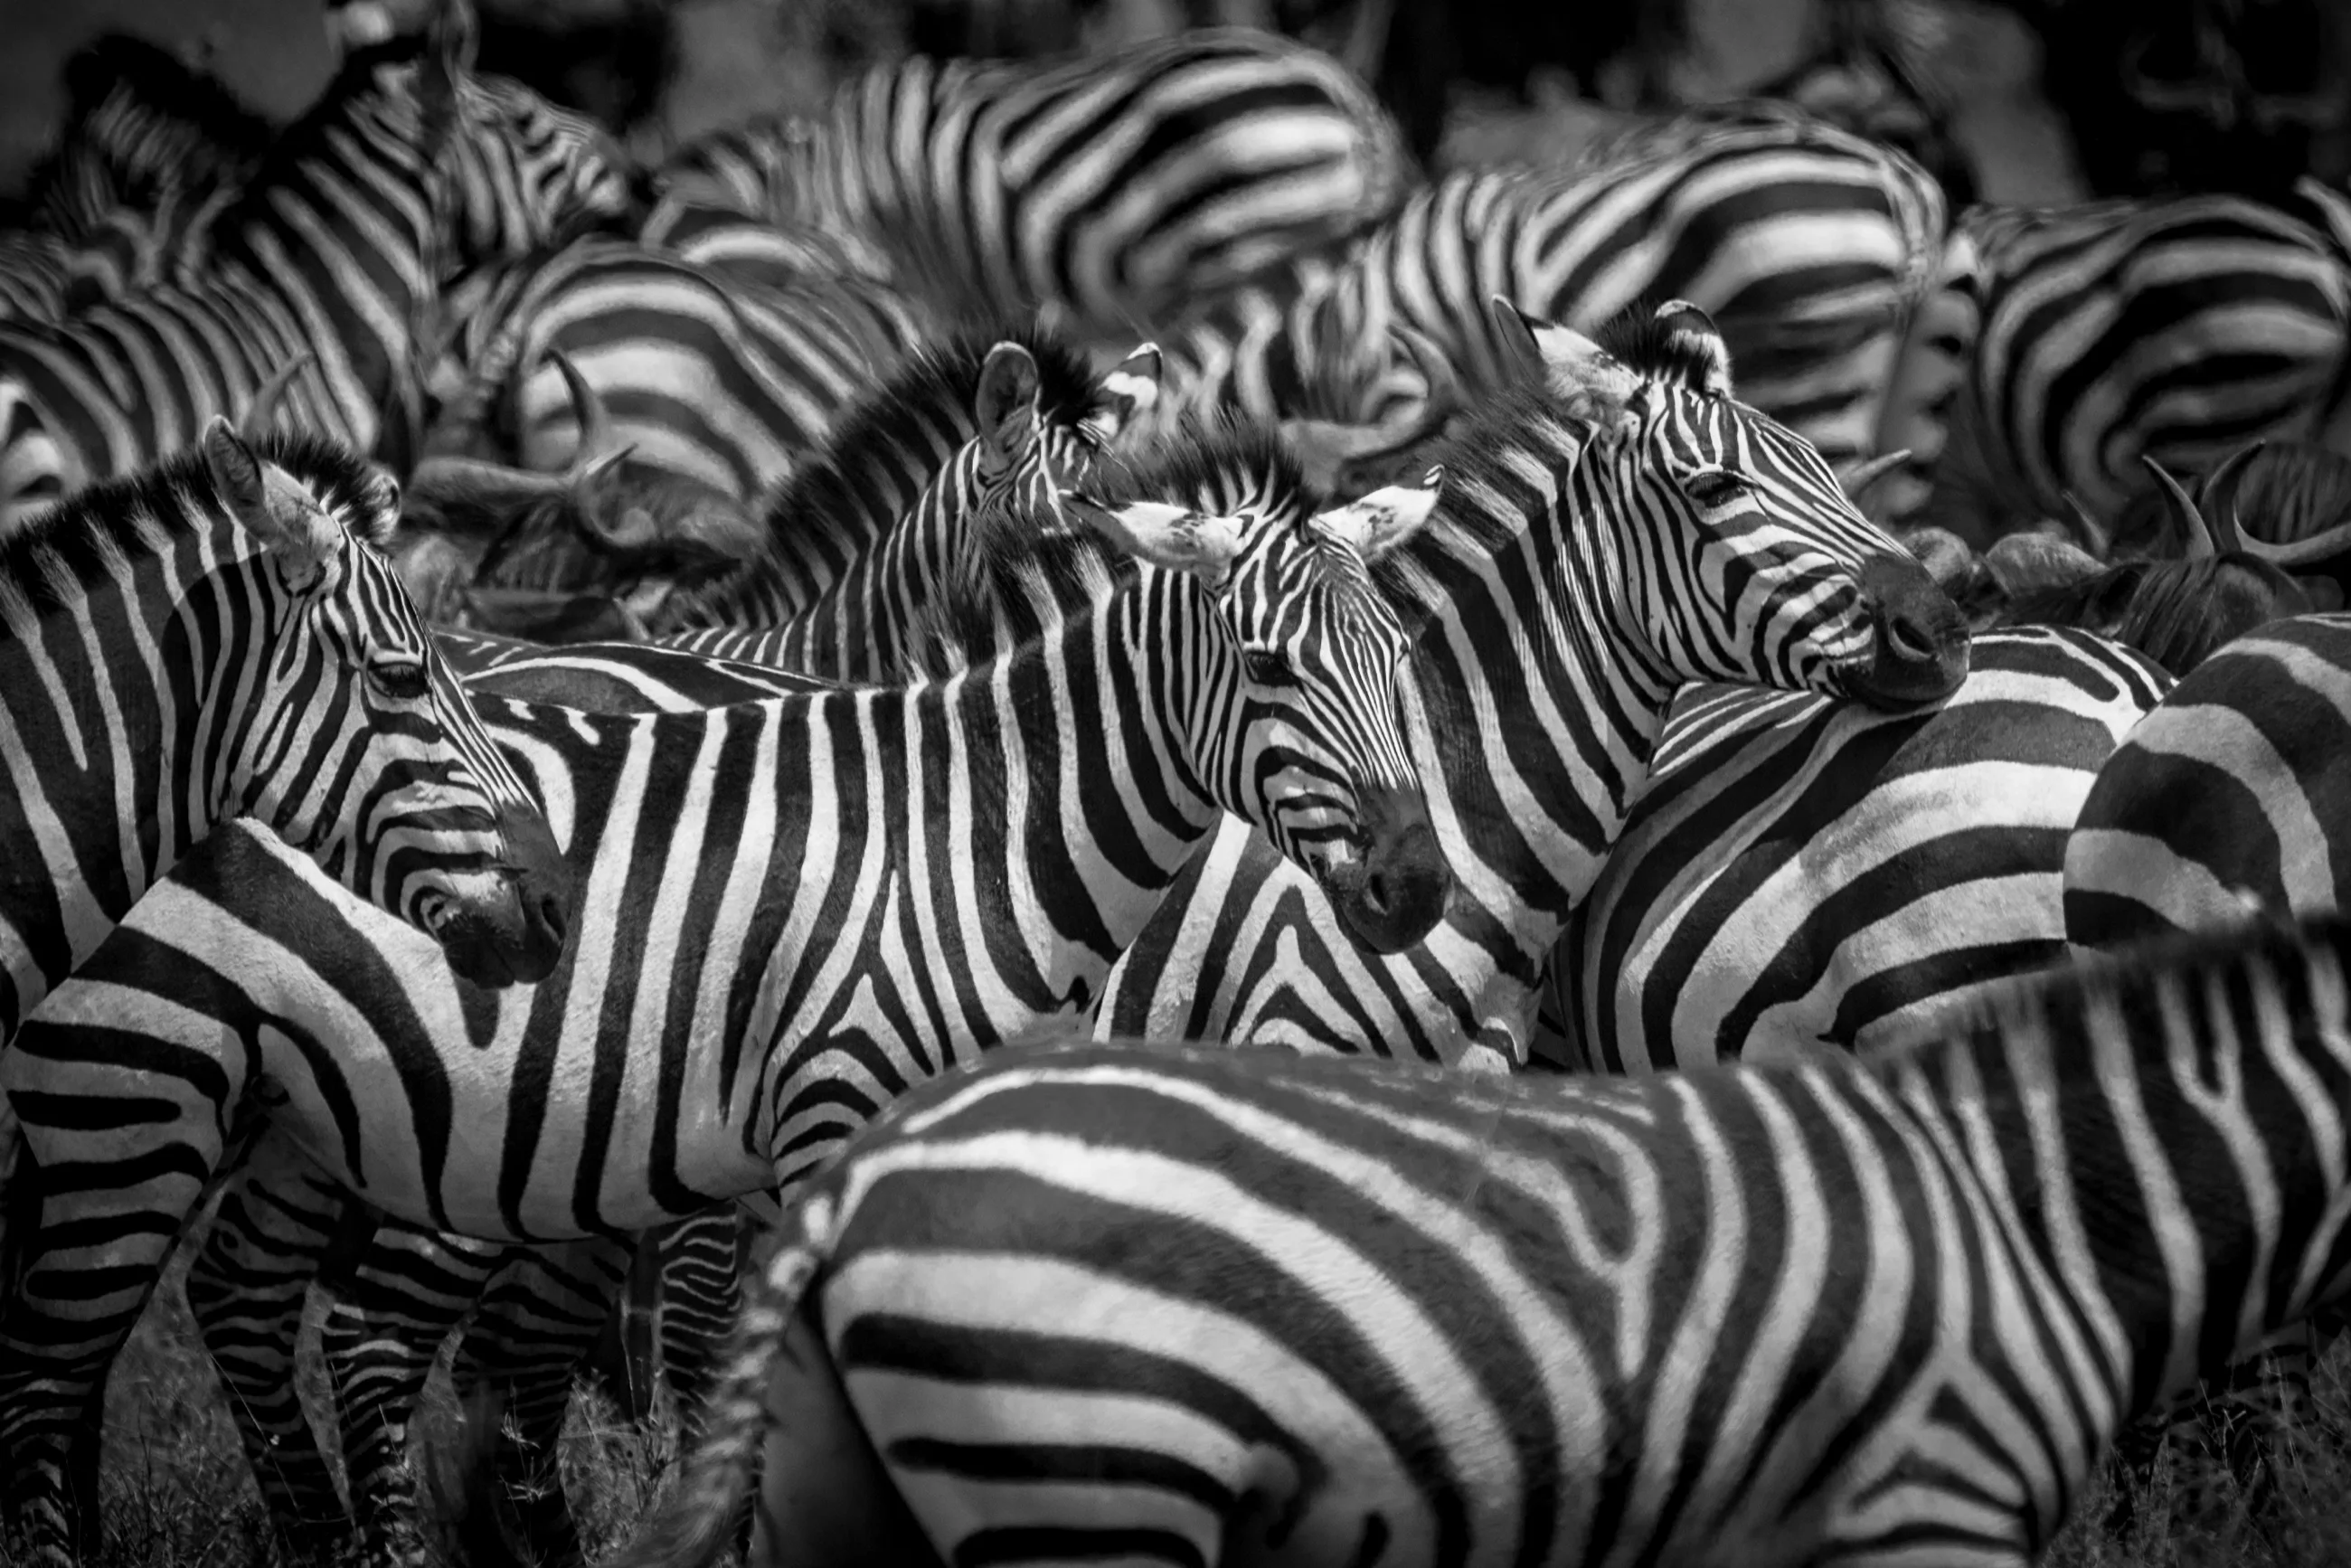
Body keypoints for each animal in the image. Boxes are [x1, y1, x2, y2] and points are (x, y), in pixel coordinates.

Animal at [0, 442, 1458, 1566]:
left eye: (1404, 653)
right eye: (1267, 667)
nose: (1415, 887)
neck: (981, 836)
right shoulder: (834, 1121)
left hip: (301, 1106)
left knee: (238, 1302)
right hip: (131, 1090)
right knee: (51, 1377)